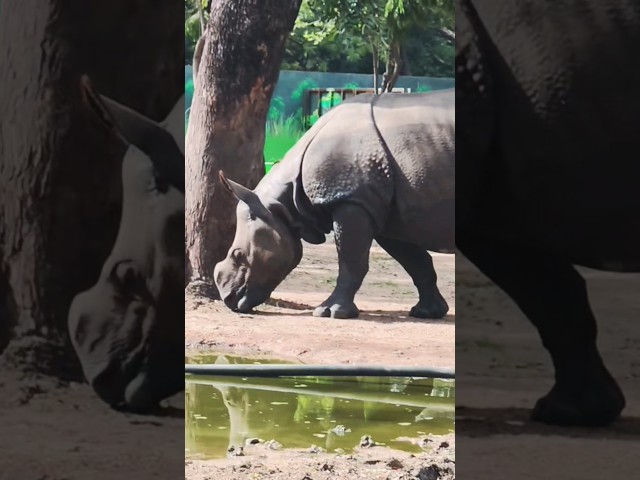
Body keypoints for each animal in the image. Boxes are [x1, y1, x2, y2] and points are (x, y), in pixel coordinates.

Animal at [215, 90, 454, 319]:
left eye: (238, 255)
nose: (228, 299)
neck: (280, 206)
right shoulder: (383, 209)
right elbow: (415, 261)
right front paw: (428, 312)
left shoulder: (350, 200)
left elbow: (350, 261)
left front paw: (330, 312)